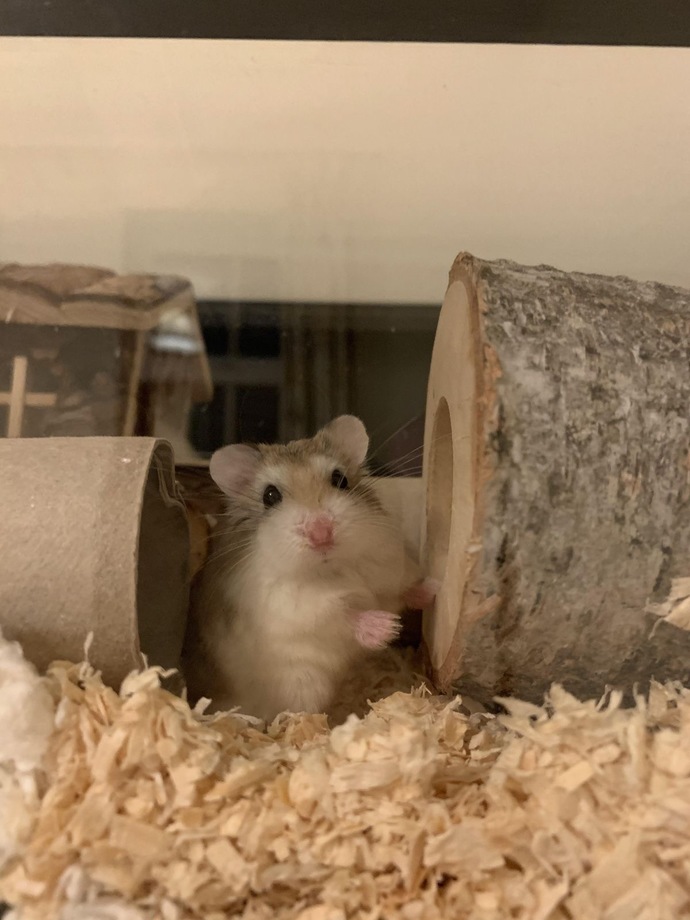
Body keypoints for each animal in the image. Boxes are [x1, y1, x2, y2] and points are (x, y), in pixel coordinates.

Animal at [182, 415, 435, 722]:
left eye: (340, 479)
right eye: (270, 496)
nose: (321, 532)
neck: (335, 567)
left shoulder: (390, 570)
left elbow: (404, 592)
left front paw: (433, 590)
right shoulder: (296, 608)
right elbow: (342, 614)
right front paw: (388, 627)